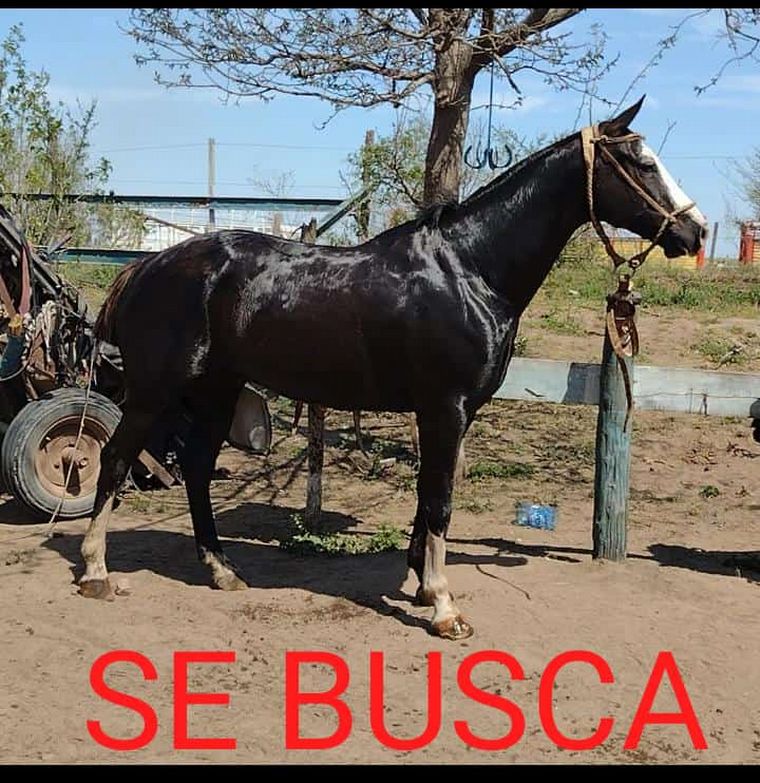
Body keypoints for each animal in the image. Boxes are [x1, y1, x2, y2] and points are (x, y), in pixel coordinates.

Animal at [82, 97, 705, 640]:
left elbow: (429, 496)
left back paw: (221, 570)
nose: (695, 231)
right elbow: (440, 501)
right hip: (154, 392)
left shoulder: (450, 413)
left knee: (196, 469)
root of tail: (144, 268)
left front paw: (424, 587)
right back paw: (96, 572)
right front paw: (445, 609)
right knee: (114, 459)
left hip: (217, 392)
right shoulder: (445, 408)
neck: (471, 269)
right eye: (642, 163)